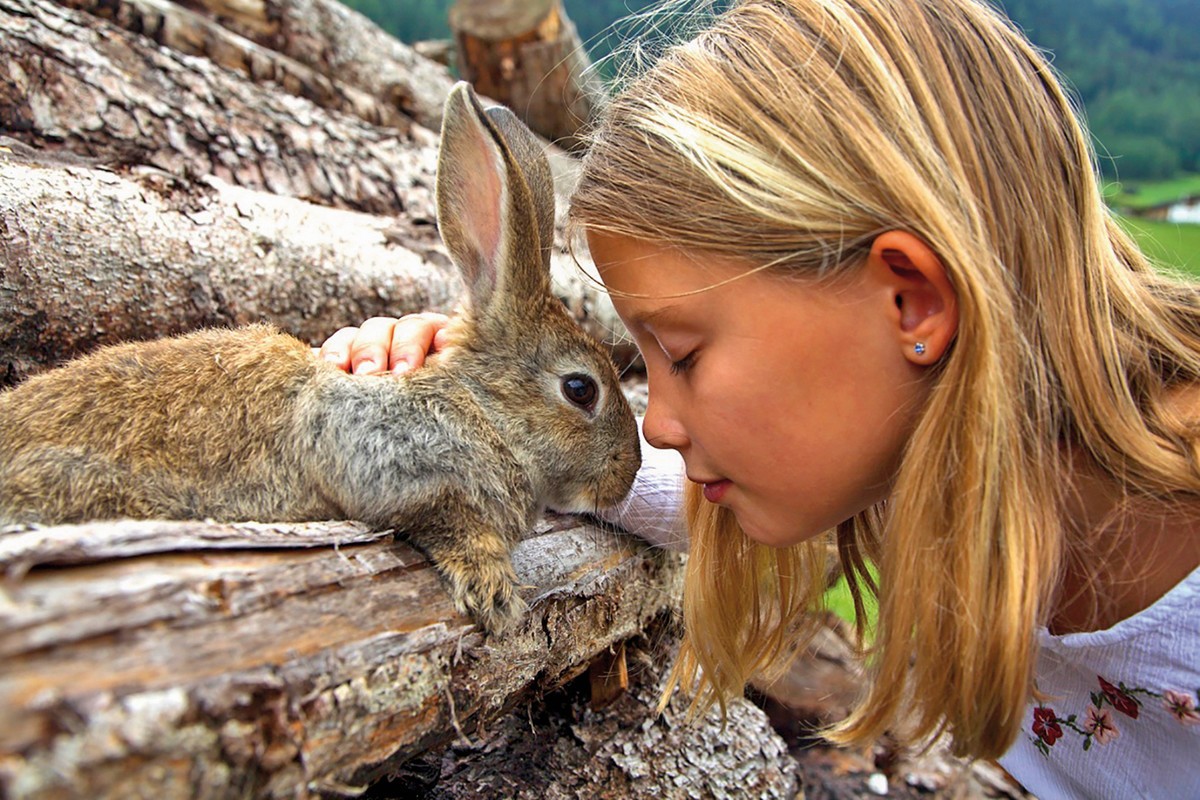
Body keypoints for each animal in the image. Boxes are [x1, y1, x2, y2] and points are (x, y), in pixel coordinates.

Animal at [0, 82, 648, 638]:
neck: (482, 411)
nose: (625, 477)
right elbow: (446, 522)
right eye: (580, 390)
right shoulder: (383, 456)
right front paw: (493, 593)